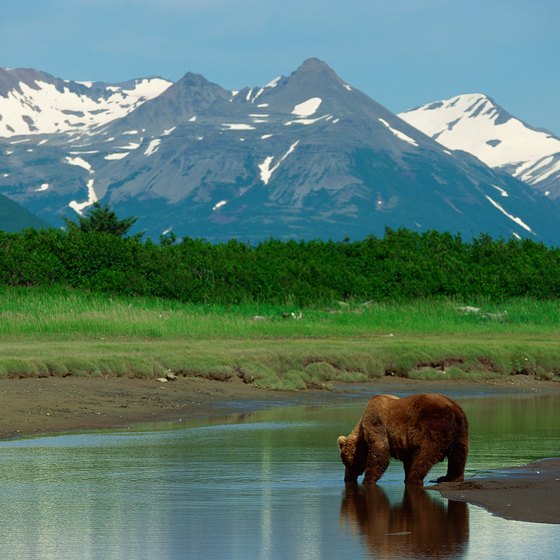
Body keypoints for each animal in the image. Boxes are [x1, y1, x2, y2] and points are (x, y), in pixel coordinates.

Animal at [336, 394, 468, 486]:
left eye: (346, 461)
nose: (347, 478)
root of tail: (454, 408)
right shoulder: (406, 441)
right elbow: (407, 458)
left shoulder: (376, 423)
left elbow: (380, 451)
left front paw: (367, 480)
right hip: (461, 431)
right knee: (459, 456)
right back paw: (450, 478)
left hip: (433, 426)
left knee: (425, 455)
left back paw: (414, 479)